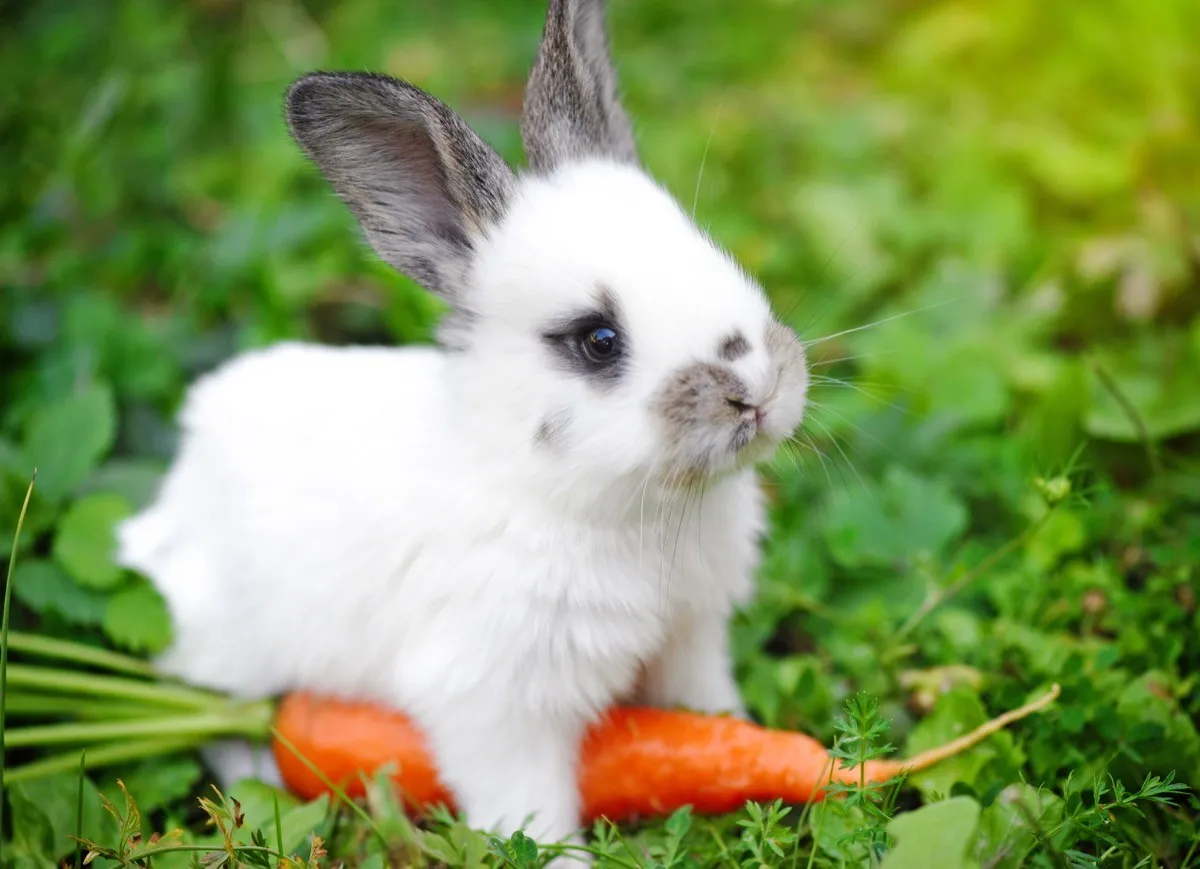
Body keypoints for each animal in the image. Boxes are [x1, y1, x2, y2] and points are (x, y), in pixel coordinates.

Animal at [116, 0, 810, 853]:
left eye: (715, 256)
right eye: (598, 339)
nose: (757, 389)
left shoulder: (691, 639)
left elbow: (710, 717)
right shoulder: (495, 703)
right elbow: (530, 809)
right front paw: (565, 863)